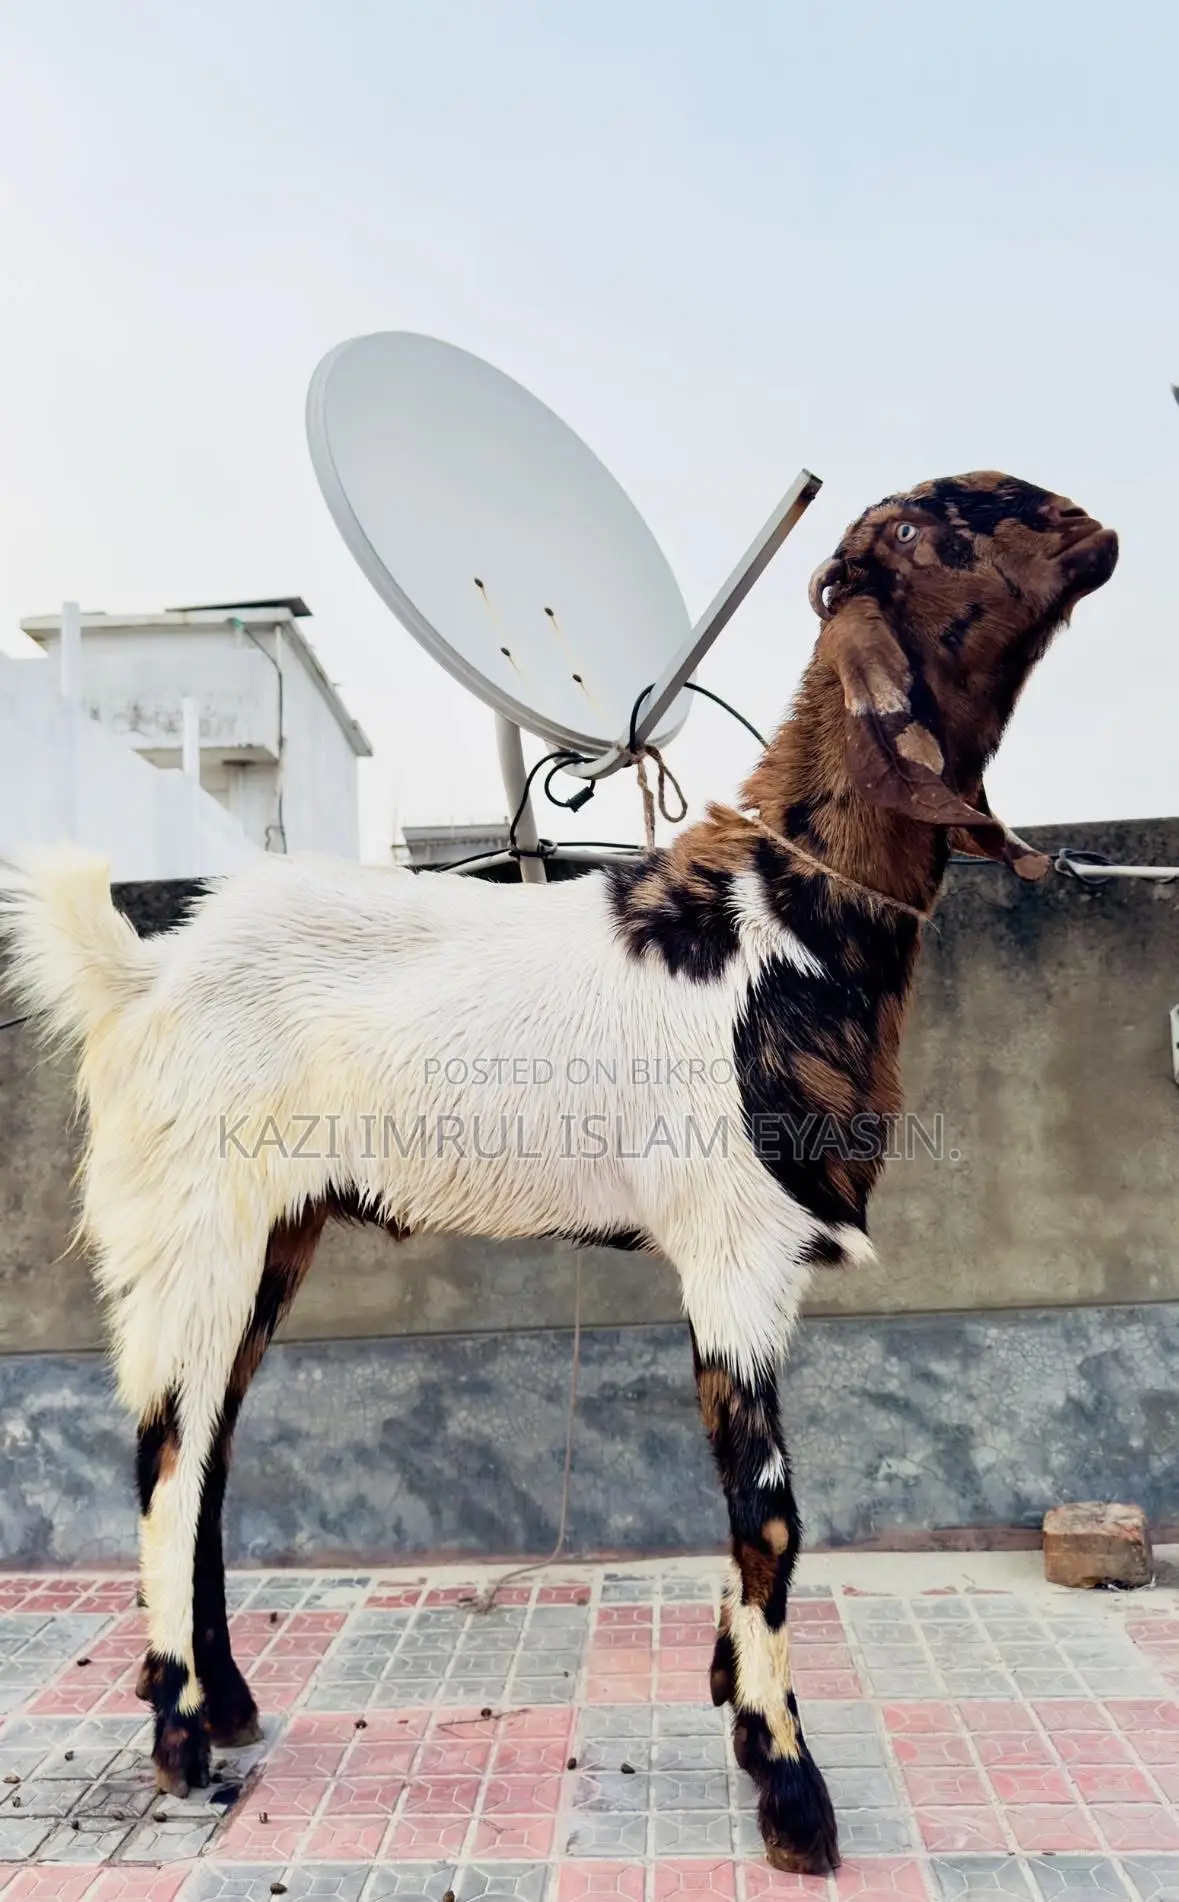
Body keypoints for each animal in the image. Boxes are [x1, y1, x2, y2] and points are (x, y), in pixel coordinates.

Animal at [0, 471, 1117, 1872]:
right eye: (931, 531)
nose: (1095, 532)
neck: (779, 918)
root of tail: (139, 972)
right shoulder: (736, 1252)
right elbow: (771, 1515)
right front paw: (790, 1789)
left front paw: (739, 1707)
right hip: (191, 1220)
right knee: (164, 1455)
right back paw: (182, 1742)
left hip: (275, 1231)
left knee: (208, 1453)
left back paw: (231, 1702)